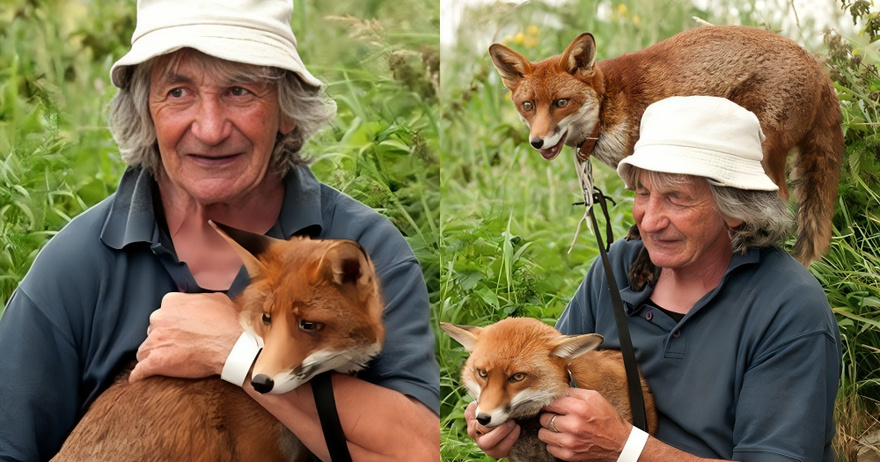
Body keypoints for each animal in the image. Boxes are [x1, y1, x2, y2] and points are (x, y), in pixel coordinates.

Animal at [492, 25, 844, 266]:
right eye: (527, 106)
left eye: (561, 103)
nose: (537, 142)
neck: (609, 105)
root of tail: (821, 70)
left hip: (762, 150)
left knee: (777, 200)